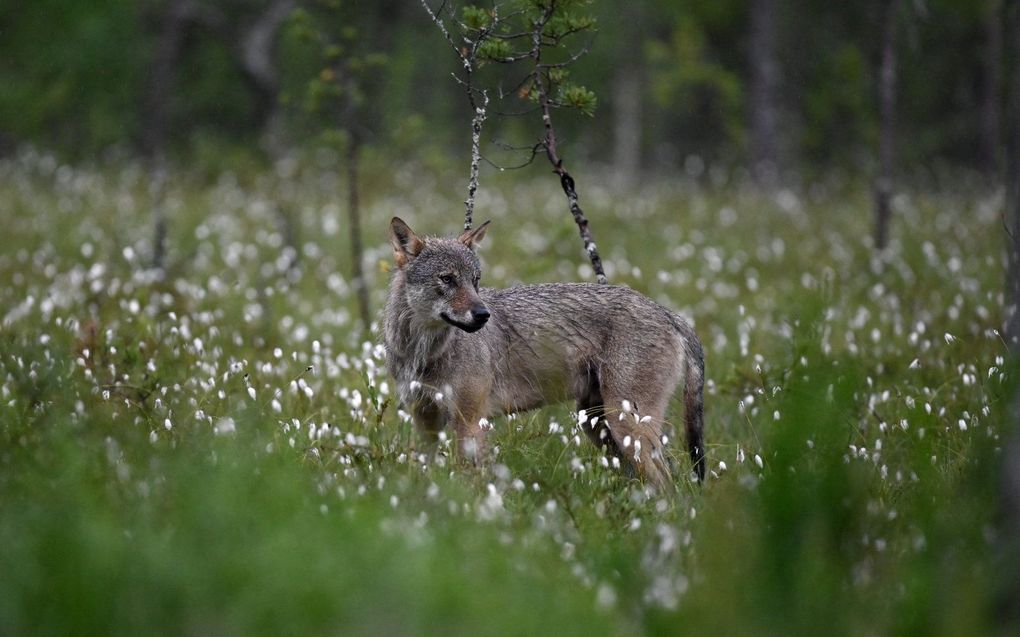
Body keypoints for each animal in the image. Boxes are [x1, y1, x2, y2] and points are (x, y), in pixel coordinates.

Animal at [379, 216, 705, 489]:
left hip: (625, 427)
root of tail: (668, 313)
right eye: (447, 279)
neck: (422, 351)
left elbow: (469, 480)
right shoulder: (426, 422)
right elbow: (425, 473)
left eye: (475, 281)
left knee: (670, 485)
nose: (483, 315)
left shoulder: (470, 422)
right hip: (600, 427)